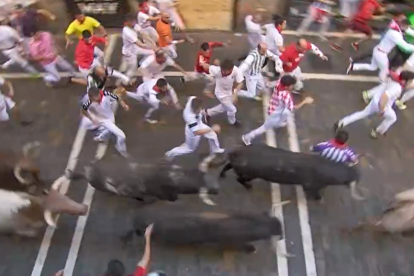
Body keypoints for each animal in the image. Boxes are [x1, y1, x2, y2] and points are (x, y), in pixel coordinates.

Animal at [210, 144, 366, 201]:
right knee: (240, 179)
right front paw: (318, 198)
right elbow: (314, 193)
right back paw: (248, 186)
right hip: (249, 174)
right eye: (348, 179)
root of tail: (236, 152)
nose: (358, 174)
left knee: (228, 167)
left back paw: (222, 175)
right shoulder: (309, 186)